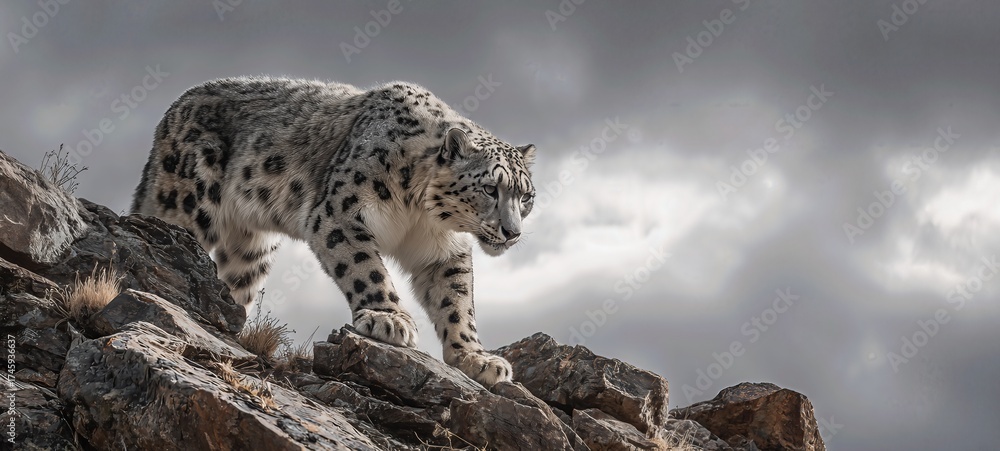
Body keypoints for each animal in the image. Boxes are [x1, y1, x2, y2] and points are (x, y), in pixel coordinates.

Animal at [131, 76, 536, 386]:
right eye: (490, 188)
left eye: (526, 196)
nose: (512, 232)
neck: (420, 213)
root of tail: (173, 110)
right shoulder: (340, 213)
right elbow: (364, 266)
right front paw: (389, 318)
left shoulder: (444, 251)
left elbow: (457, 302)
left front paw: (476, 358)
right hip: (187, 202)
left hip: (251, 248)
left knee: (237, 280)